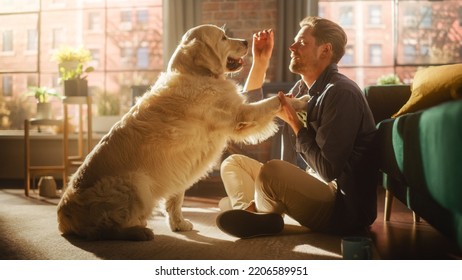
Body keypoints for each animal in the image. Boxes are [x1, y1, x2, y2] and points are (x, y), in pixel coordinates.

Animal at [57, 24, 308, 241]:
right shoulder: (240, 114)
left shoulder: (179, 166)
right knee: (104, 229)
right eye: (223, 38)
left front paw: (178, 224)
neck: (198, 74)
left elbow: (176, 199)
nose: (246, 42)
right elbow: (272, 102)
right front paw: (300, 101)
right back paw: (137, 232)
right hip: (136, 182)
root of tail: (63, 216)